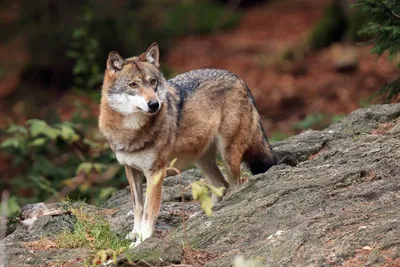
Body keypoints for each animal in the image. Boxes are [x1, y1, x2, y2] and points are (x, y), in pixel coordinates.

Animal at [97, 42, 278, 247]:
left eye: (153, 82)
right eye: (133, 85)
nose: (154, 104)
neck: (130, 131)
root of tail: (238, 78)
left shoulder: (155, 173)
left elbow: (149, 209)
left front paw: (142, 240)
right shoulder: (131, 169)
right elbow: (138, 206)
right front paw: (135, 233)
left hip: (227, 154)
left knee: (234, 185)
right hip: (202, 160)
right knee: (221, 185)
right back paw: (201, 215)